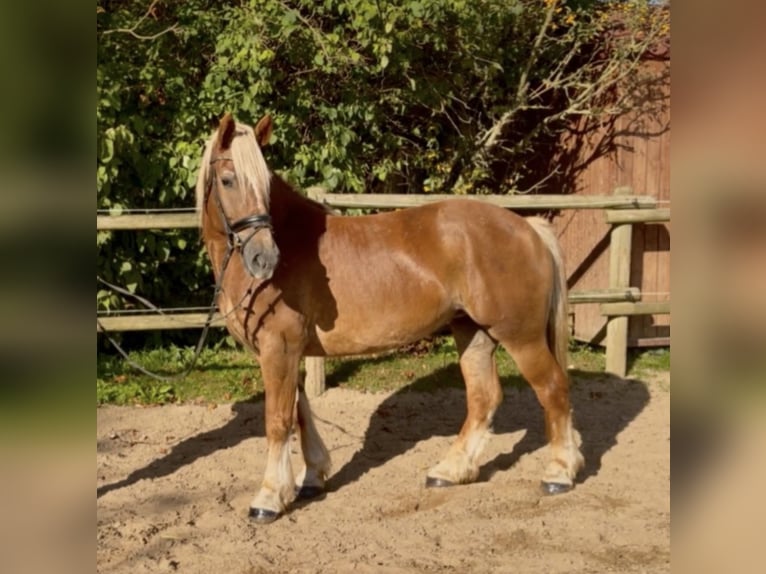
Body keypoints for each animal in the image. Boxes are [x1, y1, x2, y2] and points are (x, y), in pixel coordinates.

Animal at [195, 112, 584, 523]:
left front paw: (269, 498)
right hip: (474, 333)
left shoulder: (279, 349)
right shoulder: (287, 352)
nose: (264, 259)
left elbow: (278, 420)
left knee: (552, 388)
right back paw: (451, 471)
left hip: (521, 336)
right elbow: (301, 413)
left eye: (266, 186)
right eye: (227, 180)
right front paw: (311, 478)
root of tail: (529, 228)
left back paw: (559, 473)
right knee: (484, 397)